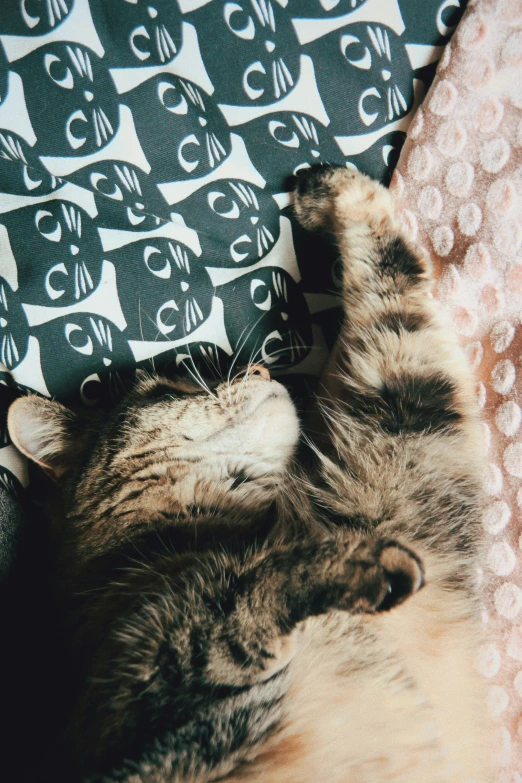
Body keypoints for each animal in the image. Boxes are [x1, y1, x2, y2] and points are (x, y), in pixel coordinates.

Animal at [7, 167, 488, 783]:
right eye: (167, 388)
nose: (260, 368)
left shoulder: (407, 438)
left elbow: (395, 302)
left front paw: (331, 192)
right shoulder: (147, 699)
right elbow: (240, 595)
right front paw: (356, 562)